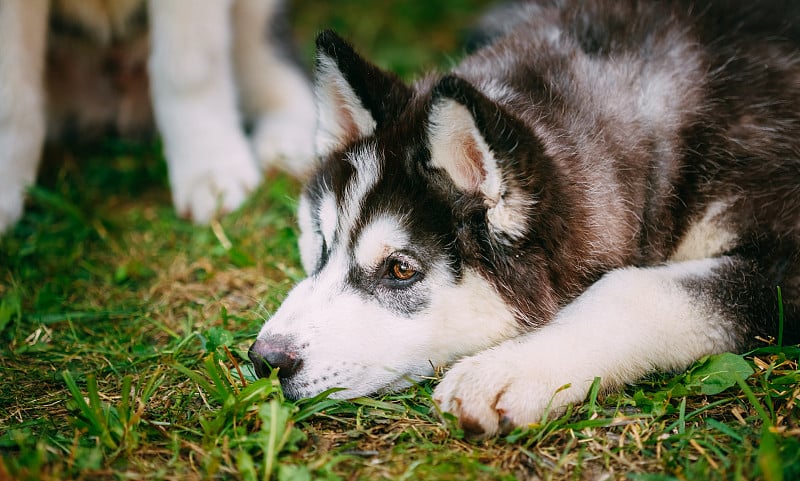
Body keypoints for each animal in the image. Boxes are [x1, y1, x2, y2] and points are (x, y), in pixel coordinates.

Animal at [0, 0, 318, 232]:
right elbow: (11, 93)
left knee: (276, 60)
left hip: (260, 15)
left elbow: (188, 68)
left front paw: (209, 171)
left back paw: (291, 140)